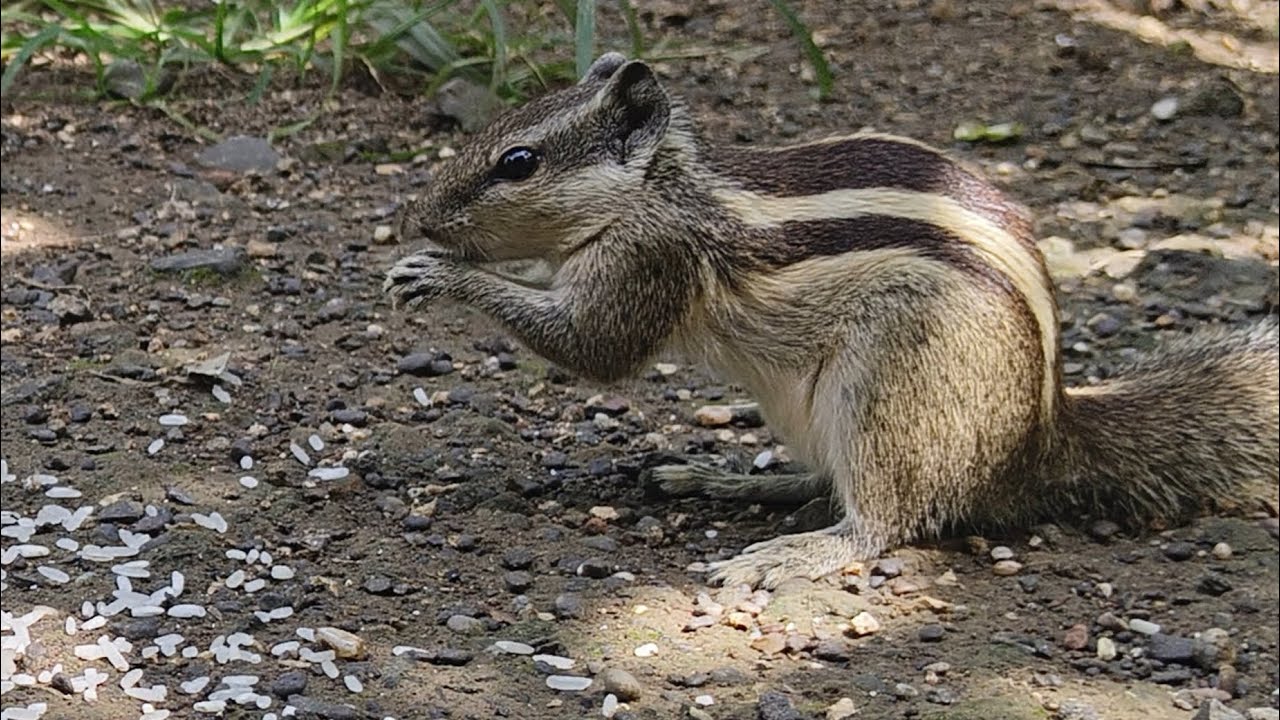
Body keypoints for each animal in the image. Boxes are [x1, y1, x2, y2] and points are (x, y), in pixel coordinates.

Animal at [384, 52, 1280, 590]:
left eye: (518, 163)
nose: (415, 216)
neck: (657, 190)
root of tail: (1041, 436)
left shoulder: (647, 262)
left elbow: (596, 351)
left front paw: (440, 274)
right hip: (806, 404)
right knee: (822, 479)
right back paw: (725, 480)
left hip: (893, 386)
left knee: (884, 521)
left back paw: (793, 551)